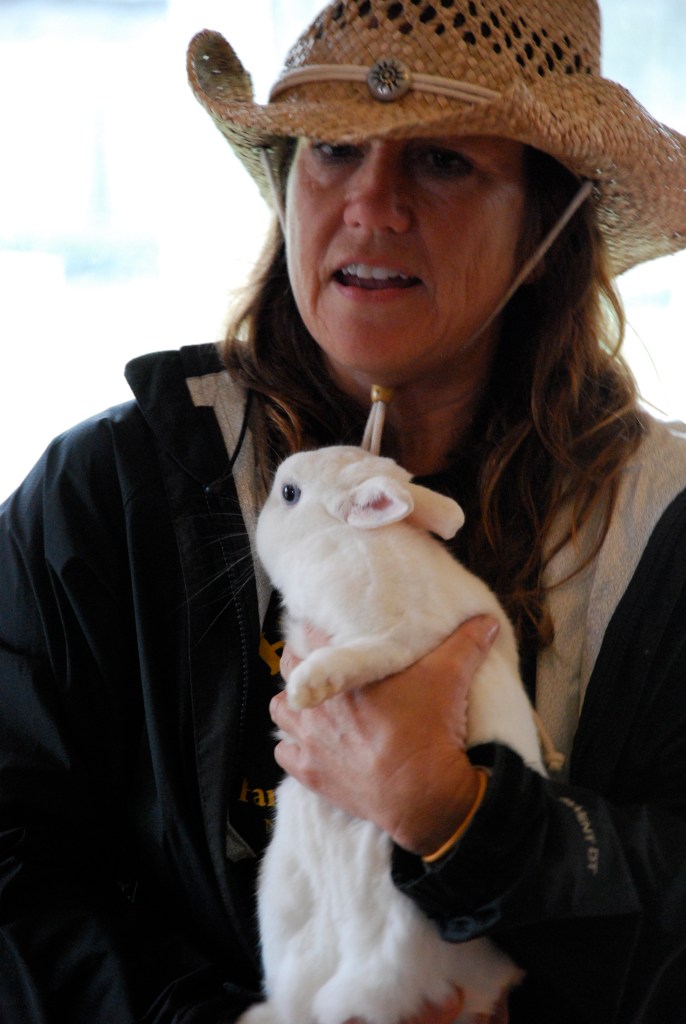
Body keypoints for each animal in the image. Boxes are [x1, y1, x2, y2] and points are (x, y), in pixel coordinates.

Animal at [240, 444, 546, 1024]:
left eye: (289, 494)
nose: (265, 508)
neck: (345, 541)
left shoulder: (399, 636)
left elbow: (360, 656)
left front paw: (307, 688)